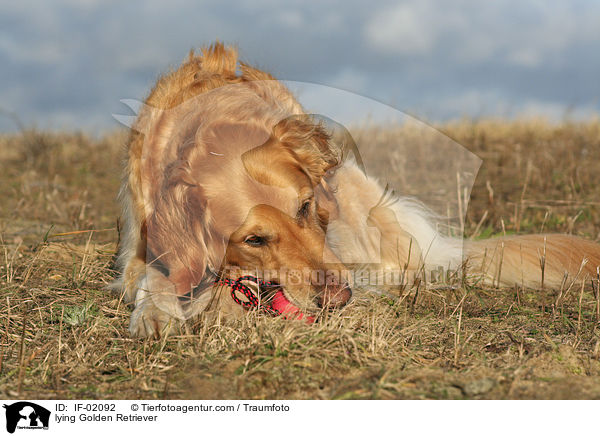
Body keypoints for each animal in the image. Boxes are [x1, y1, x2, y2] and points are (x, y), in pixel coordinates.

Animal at [111, 42, 600, 338]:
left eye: (306, 207)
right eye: (254, 239)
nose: (339, 298)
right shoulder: (141, 246)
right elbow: (153, 277)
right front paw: (155, 314)